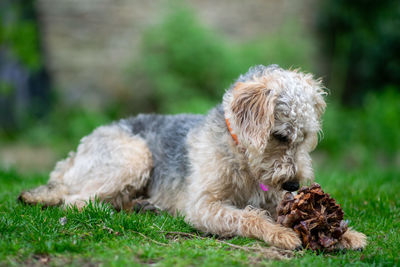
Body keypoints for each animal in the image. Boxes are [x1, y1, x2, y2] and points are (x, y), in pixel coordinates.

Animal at [20, 65, 368, 251]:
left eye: (306, 136)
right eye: (281, 136)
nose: (294, 185)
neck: (240, 154)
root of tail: (74, 155)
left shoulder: (272, 200)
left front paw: (347, 234)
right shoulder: (203, 205)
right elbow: (247, 216)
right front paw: (280, 233)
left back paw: (143, 205)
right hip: (134, 157)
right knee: (76, 201)